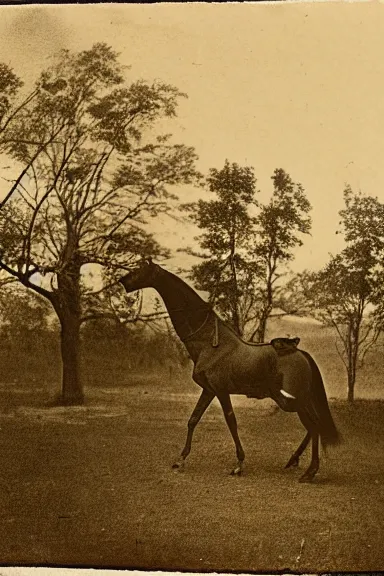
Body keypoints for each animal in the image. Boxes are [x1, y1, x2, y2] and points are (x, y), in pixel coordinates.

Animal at [118, 260, 340, 482]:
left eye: (141, 270)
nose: (123, 281)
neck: (209, 343)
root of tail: (302, 353)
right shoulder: (209, 390)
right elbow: (193, 419)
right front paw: (180, 460)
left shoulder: (221, 391)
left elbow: (231, 422)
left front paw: (239, 465)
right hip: (289, 400)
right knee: (313, 426)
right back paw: (294, 460)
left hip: (289, 400)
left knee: (315, 425)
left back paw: (309, 471)